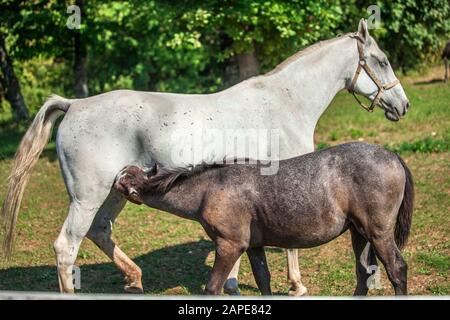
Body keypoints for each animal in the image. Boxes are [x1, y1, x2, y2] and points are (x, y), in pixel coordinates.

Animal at [0, 19, 408, 296]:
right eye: (381, 60)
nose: (402, 105)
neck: (285, 101)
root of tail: (74, 104)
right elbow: (289, 243)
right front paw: (296, 285)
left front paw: (233, 283)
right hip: (88, 196)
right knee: (67, 247)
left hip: (114, 191)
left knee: (100, 230)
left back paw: (134, 278)